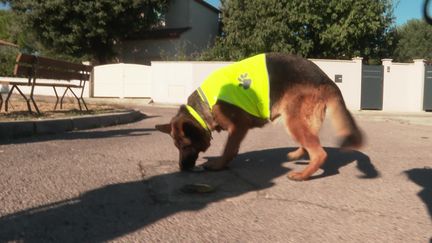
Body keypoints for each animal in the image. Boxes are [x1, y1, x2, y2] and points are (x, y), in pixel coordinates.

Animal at [157, 52, 362, 180]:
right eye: (176, 147)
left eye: (185, 146)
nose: (182, 168)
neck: (203, 107)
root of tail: (327, 79)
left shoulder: (238, 127)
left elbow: (228, 149)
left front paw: (218, 165)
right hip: (301, 121)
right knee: (309, 144)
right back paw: (298, 154)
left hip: (293, 121)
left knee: (320, 153)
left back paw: (303, 175)